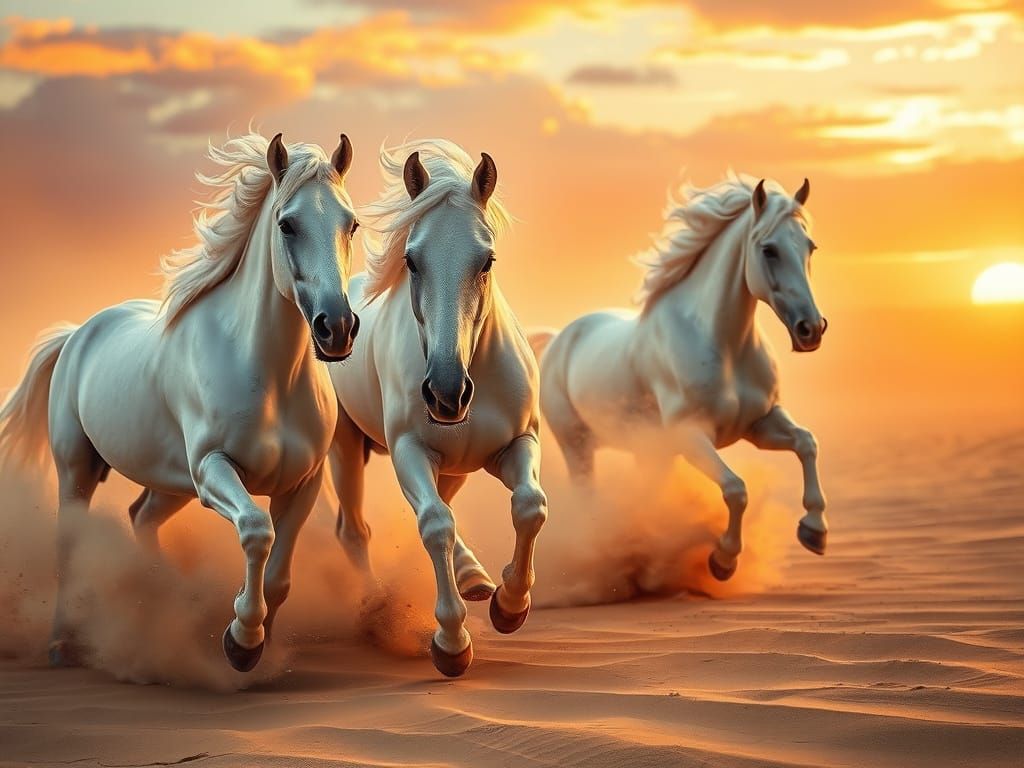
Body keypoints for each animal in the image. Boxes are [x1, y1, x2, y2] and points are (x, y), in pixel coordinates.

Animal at [0, 131, 359, 672]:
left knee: (141, 518)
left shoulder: (303, 483)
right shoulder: (214, 468)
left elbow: (280, 575)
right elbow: (256, 531)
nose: (336, 328)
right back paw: (63, 644)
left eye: (350, 223)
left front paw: (258, 641)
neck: (269, 378)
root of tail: (78, 332)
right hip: (78, 468)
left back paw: (173, 600)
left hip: (170, 482)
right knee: (72, 544)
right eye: (287, 224)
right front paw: (241, 641)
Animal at [326, 139, 547, 678]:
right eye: (412, 260)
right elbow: (434, 525)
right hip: (345, 446)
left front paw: (509, 605)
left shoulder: (517, 443)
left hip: (456, 464)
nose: (446, 393)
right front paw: (451, 642)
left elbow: (529, 506)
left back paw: (476, 577)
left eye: (486, 260)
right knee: (355, 530)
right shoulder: (410, 452)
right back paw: (373, 607)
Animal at [533, 174, 828, 582]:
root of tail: (559, 337)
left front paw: (814, 531)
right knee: (587, 497)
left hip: (650, 454)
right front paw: (722, 560)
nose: (811, 330)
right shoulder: (690, 435)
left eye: (809, 246)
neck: (723, 345)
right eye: (769, 250)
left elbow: (806, 443)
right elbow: (736, 489)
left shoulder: (761, 423)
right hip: (576, 446)